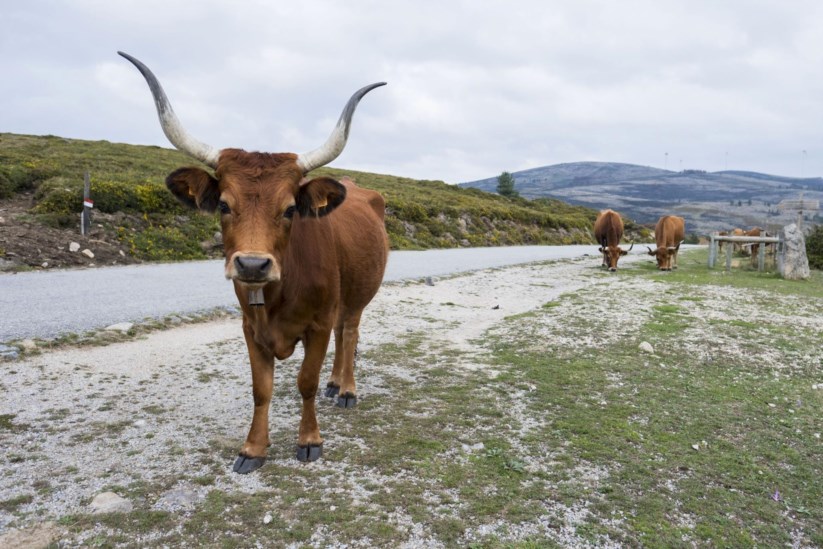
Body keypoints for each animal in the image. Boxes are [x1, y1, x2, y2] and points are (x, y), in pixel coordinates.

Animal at [119, 50, 390, 470]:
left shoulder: (316, 324)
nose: (251, 265)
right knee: (342, 335)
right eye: (224, 205)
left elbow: (305, 382)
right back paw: (335, 385)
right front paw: (253, 448)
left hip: (357, 297)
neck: (279, 294)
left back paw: (346, 389)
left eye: (291, 208)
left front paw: (309, 440)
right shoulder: (250, 327)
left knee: (349, 334)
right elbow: (261, 389)